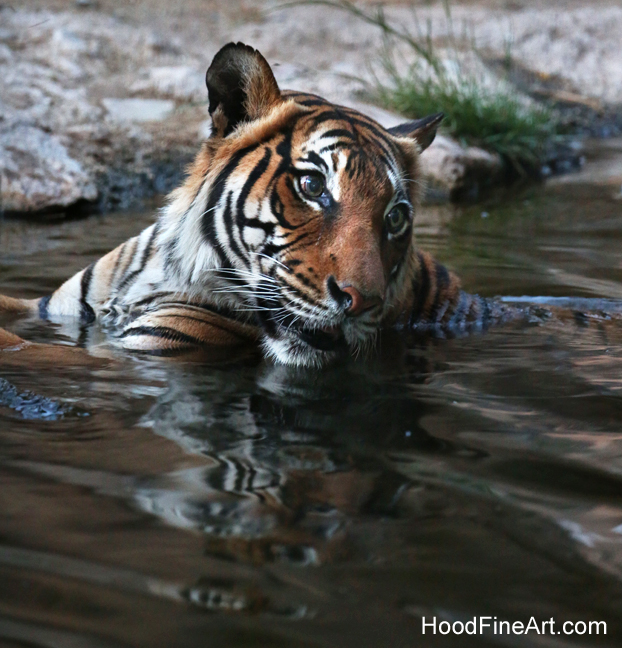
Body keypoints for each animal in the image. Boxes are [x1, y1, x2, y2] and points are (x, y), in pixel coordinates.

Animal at [0, 42, 494, 368]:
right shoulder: (50, 305)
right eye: (313, 186)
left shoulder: (147, 350)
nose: (363, 302)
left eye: (394, 217)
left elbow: (16, 344)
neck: (162, 267)